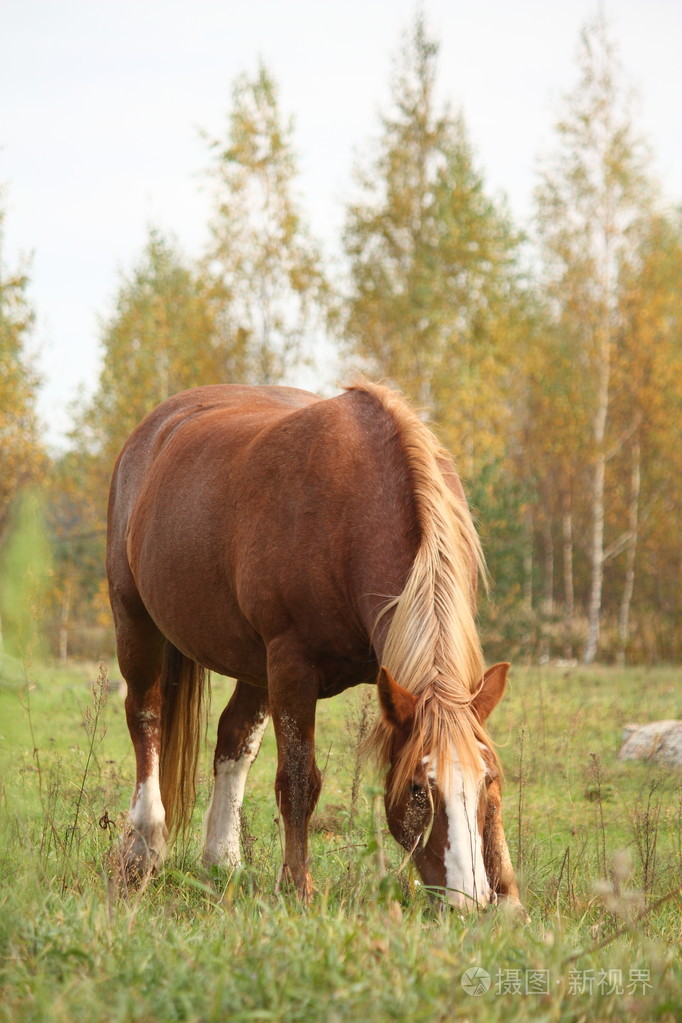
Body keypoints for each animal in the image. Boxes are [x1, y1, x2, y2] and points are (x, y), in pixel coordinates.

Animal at [107, 384, 523, 912]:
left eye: (487, 781)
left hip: (254, 664)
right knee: (147, 719)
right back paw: (141, 852)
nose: (465, 900)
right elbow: (299, 780)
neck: (356, 508)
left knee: (233, 740)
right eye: (416, 789)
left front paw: (508, 895)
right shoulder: (292, 665)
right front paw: (296, 887)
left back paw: (222, 862)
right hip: (136, 623)